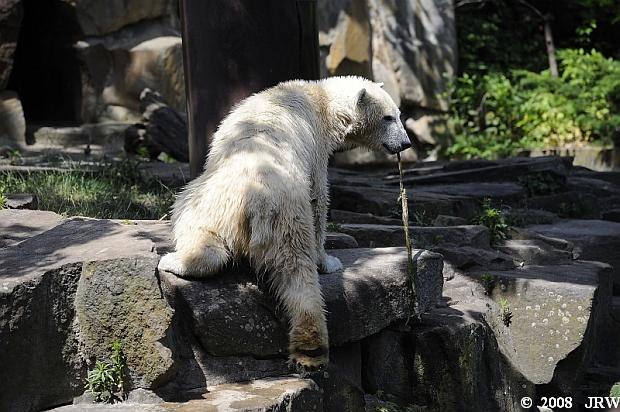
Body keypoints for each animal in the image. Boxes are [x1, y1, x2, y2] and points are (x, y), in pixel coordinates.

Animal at [158, 75, 411, 371]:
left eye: (398, 115)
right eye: (388, 117)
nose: (405, 143)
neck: (320, 100)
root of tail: (254, 200)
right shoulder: (316, 149)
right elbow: (320, 198)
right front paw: (329, 261)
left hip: (213, 203)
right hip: (261, 208)